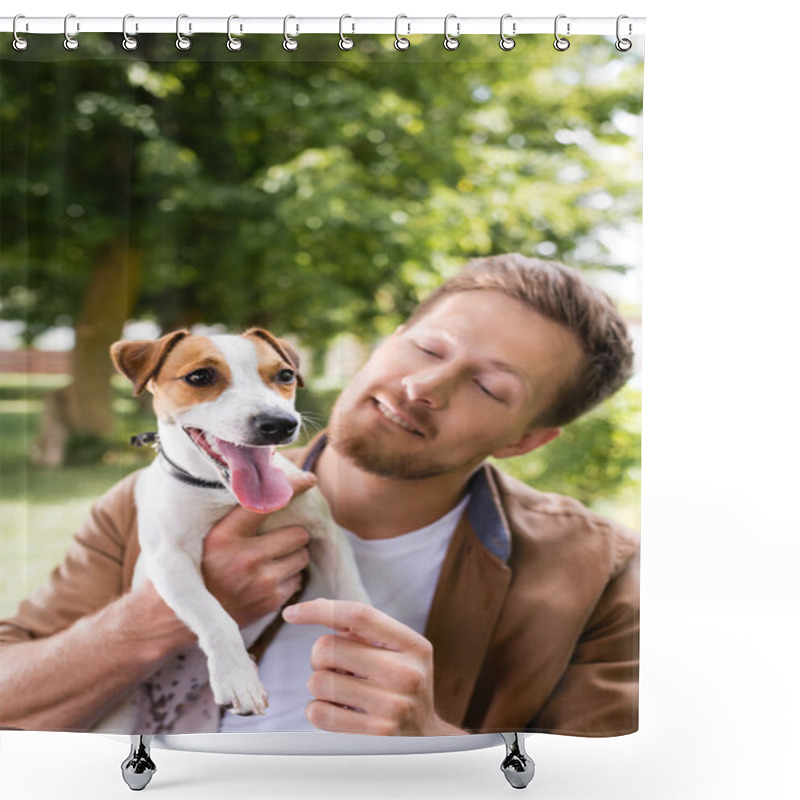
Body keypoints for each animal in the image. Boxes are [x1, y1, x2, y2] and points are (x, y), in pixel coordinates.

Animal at [94, 326, 368, 732]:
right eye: (200, 377)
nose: (279, 423)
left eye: (285, 375)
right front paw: (238, 677)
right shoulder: (170, 560)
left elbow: (353, 592)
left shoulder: (325, 533)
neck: (225, 495)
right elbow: (215, 615)